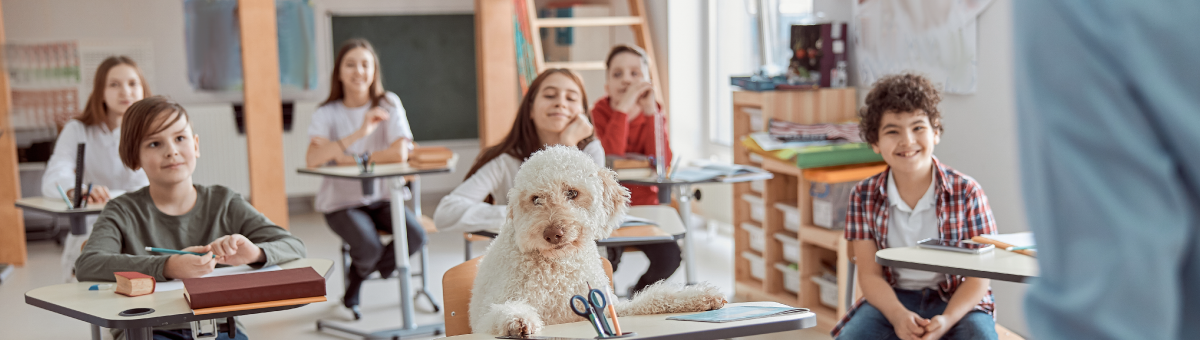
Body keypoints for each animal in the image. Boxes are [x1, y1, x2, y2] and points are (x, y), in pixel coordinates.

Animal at [472, 146, 724, 338]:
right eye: (536, 199)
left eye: (572, 193)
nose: (553, 234)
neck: (560, 265)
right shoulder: (486, 317)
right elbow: (498, 313)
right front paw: (517, 319)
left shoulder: (615, 307)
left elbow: (655, 297)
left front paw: (699, 296)